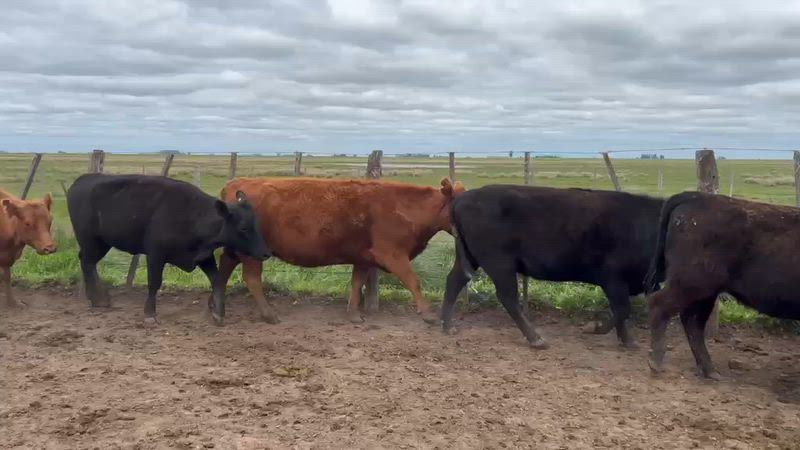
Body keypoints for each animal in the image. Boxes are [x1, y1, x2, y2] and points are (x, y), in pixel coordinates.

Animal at [66, 173, 271, 325]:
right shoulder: (156, 255)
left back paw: (101, 298)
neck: (192, 215)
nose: (266, 252)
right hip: (91, 241)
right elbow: (154, 283)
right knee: (87, 262)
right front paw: (149, 314)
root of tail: (82, 180)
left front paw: (219, 314)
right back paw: (98, 298)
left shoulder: (204, 256)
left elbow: (218, 281)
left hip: (101, 243)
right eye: (243, 228)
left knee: (88, 263)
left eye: (256, 223)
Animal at [213, 177, 465, 325]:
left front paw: (353, 313)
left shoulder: (364, 258)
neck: (406, 207)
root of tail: (237, 183)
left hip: (237, 250)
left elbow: (357, 282)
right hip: (252, 254)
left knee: (223, 269)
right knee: (252, 278)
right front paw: (429, 314)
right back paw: (268, 314)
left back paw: (216, 310)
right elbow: (414, 281)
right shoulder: (393, 254)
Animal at [442, 185, 666, 349]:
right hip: (500, 265)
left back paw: (447, 326)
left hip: (472, 259)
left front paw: (628, 341)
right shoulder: (613, 278)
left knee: (454, 281)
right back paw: (536, 338)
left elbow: (623, 311)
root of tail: (463, 198)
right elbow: (623, 309)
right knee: (508, 297)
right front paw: (594, 328)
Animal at [644, 191, 800, 379]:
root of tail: (694, 196)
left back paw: (710, 371)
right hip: (692, 285)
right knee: (660, 305)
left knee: (692, 322)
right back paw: (656, 363)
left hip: (705, 293)